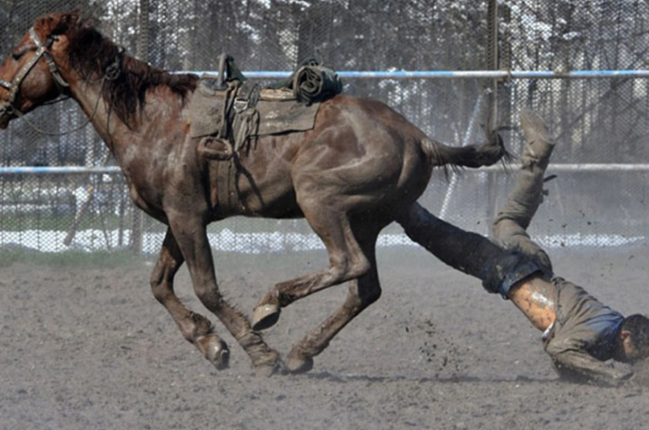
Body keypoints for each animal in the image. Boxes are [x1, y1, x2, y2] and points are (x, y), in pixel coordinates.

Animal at [0, 11, 506, 376]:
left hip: (320, 200)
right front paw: (208, 342)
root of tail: (417, 137)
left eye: (18, 51)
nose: (0, 100)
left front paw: (255, 351)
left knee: (348, 264)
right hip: (367, 220)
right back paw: (303, 351)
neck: (154, 121)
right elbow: (159, 284)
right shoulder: (178, 219)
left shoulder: (187, 217)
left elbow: (205, 288)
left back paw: (272, 306)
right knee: (365, 288)